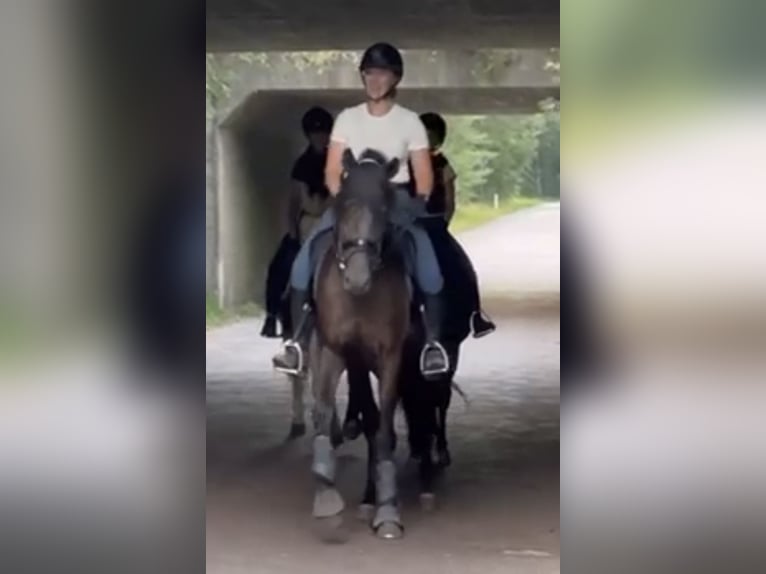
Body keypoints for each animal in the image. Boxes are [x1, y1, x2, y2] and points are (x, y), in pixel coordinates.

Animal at [308, 148, 412, 540]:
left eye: (383, 209)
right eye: (343, 203)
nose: (357, 278)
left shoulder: (390, 357)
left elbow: (383, 429)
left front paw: (388, 510)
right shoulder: (337, 350)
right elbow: (326, 412)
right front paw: (325, 495)